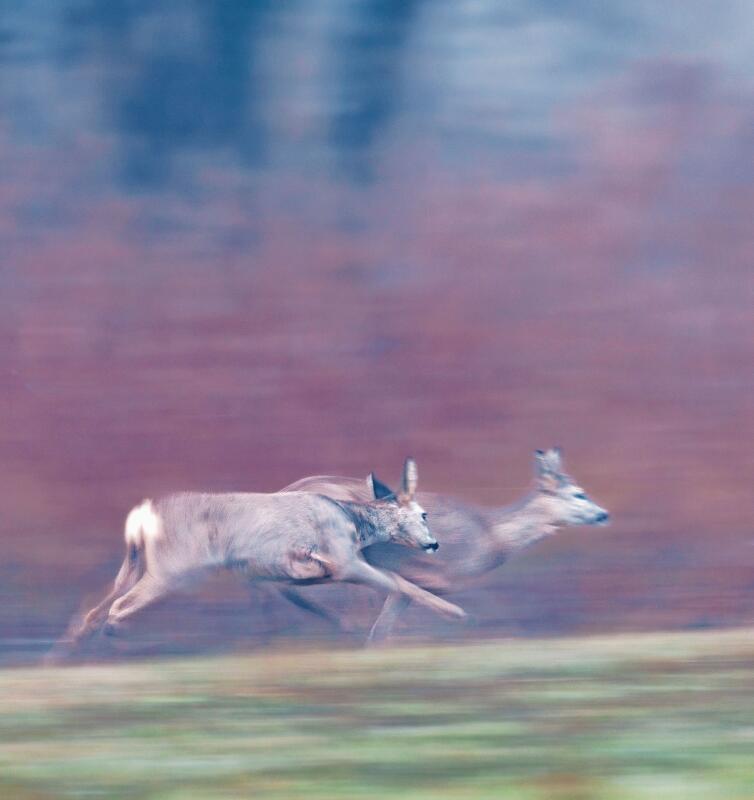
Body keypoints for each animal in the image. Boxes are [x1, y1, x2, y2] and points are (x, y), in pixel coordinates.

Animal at [50, 460, 464, 660]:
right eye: (424, 513)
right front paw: (451, 615)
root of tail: (140, 517)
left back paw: (69, 652)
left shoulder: (292, 574)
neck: (354, 523)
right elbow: (399, 584)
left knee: (95, 609)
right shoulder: (342, 559)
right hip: (173, 568)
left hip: (135, 563)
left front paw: (352, 630)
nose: (434, 544)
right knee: (118, 608)